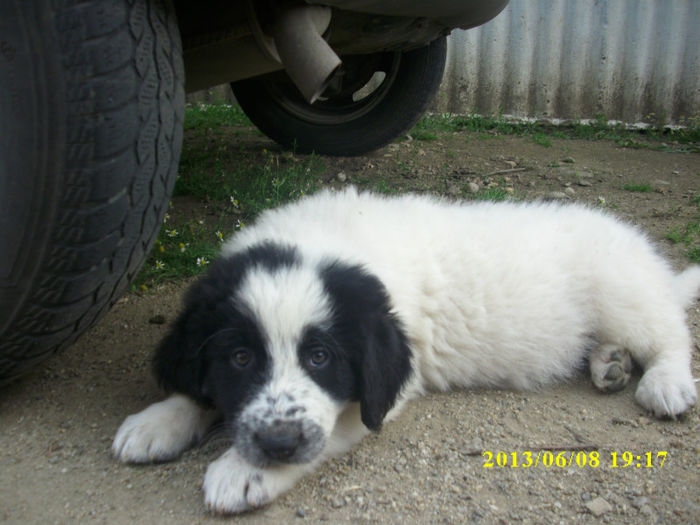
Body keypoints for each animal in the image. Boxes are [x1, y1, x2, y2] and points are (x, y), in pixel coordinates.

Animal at [112, 187, 696, 512]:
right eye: (240, 359)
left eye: (320, 358)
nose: (277, 444)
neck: (324, 236)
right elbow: (200, 389)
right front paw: (160, 419)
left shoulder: (381, 388)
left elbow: (331, 426)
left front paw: (243, 471)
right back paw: (610, 363)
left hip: (622, 291)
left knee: (670, 333)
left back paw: (665, 382)